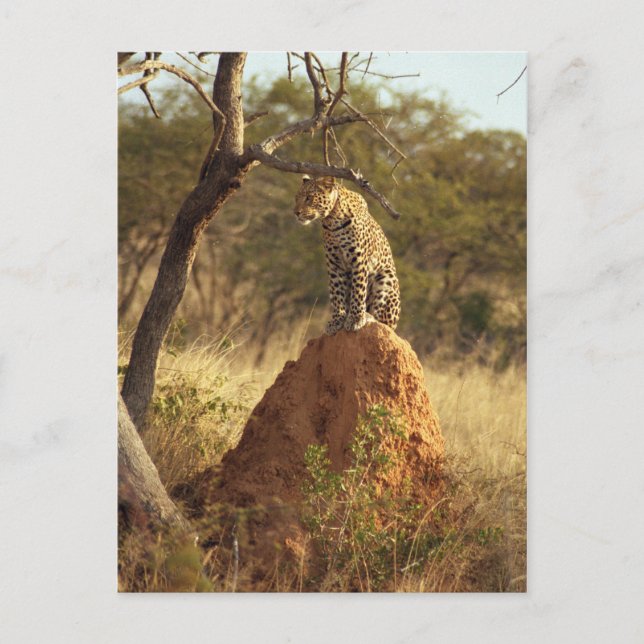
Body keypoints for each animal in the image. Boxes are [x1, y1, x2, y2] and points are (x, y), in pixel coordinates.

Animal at [293, 175, 401, 335]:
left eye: (309, 198)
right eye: (296, 198)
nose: (296, 213)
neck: (332, 220)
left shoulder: (359, 260)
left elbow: (358, 290)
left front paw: (355, 319)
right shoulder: (333, 263)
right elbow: (337, 293)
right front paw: (337, 320)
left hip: (387, 277)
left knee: (381, 320)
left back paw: (367, 316)